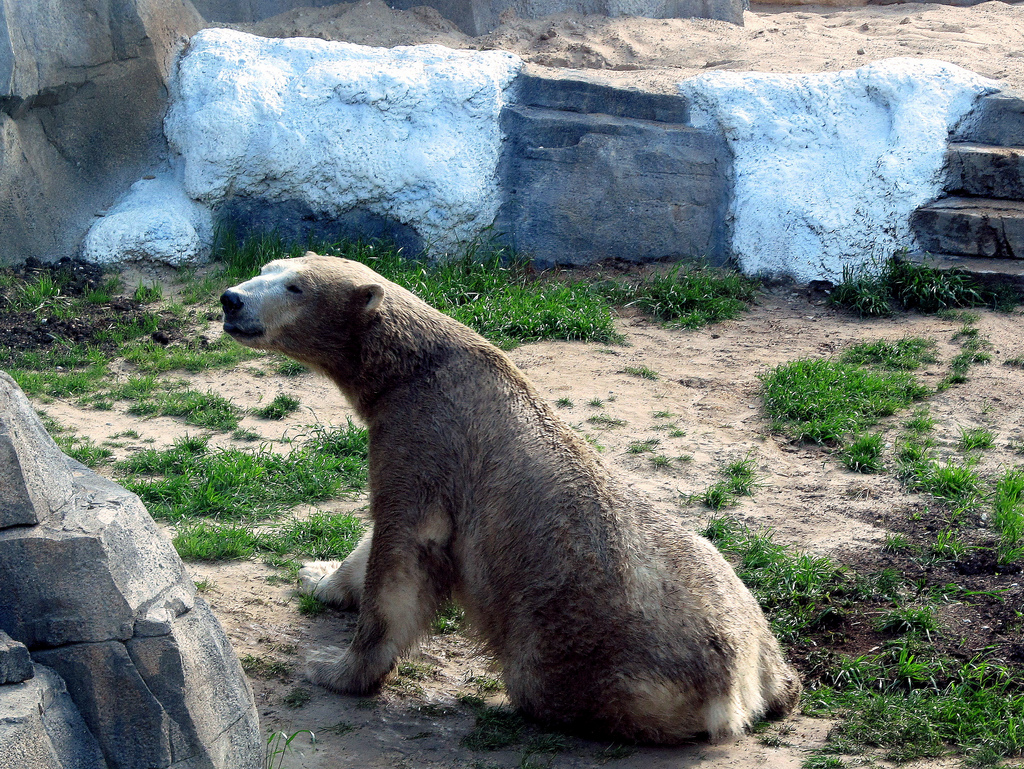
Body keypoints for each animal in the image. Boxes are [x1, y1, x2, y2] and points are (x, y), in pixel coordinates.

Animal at [220, 252, 801, 743]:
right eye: (267, 268)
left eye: (295, 286)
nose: (231, 300)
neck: (417, 366)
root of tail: (744, 680)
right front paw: (317, 575)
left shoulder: (424, 436)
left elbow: (403, 554)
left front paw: (333, 669)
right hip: (737, 598)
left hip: (580, 642)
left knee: (546, 683)